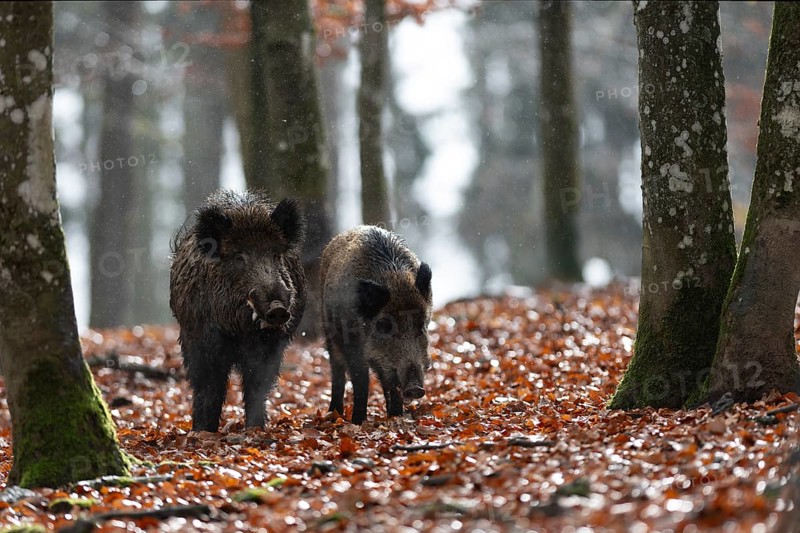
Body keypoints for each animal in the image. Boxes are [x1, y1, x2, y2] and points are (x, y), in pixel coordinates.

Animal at [169, 190, 306, 432]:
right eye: (239, 257)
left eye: (275, 255)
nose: (278, 308)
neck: (239, 332)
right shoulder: (201, 340)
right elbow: (209, 386)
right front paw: (204, 430)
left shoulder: (272, 345)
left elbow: (257, 385)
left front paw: (255, 428)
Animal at [320, 225, 432, 424]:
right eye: (385, 325)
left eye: (421, 325)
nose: (415, 389)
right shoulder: (353, 347)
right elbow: (361, 382)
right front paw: (358, 422)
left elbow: (390, 384)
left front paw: (395, 417)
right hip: (330, 334)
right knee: (337, 371)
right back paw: (333, 415)